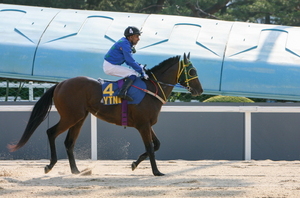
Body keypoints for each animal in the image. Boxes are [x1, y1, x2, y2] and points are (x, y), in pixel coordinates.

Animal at [7, 52, 204, 176]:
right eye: (192, 71)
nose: (200, 90)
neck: (151, 89)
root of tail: (61, 84)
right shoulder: (143, 125)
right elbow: (150, 147)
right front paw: (156, 172)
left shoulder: (147, 124)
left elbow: (156, 145)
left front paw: (134, 164)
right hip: (71, 116)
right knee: (51, 132)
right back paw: (50, 165)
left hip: (79, 118)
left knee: (69, 142)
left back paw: (76, 171)